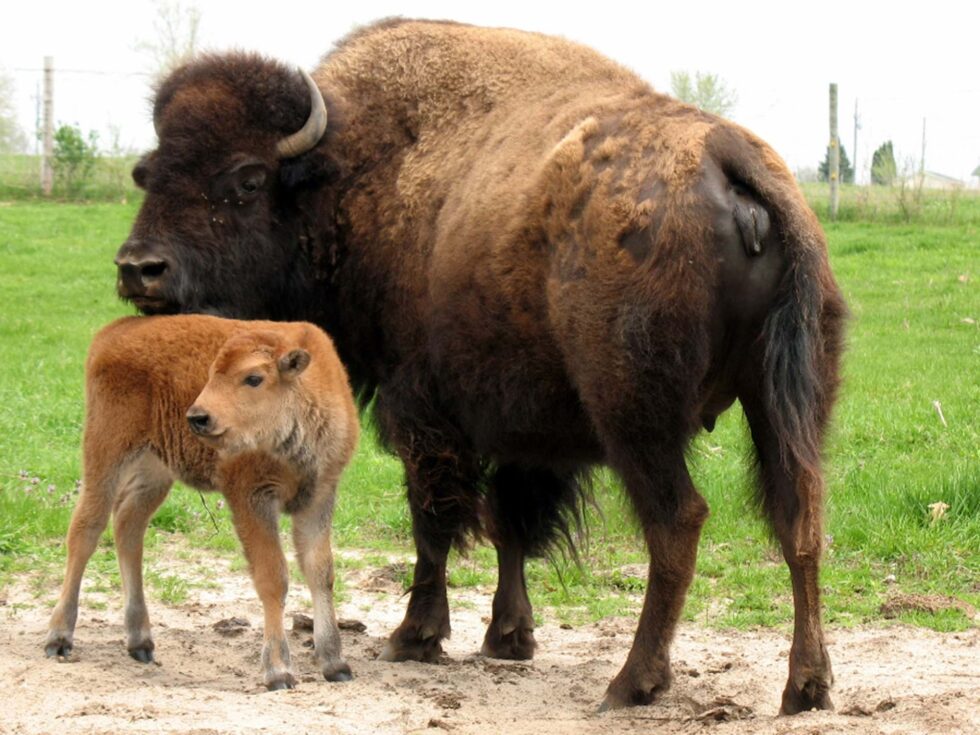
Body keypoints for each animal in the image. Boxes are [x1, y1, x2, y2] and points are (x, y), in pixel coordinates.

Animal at [44, 315, 359, 690]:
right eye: (211, 373)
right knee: (86, 530)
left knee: (128, 527)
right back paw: (59, 638)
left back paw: (140, 642)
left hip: (154, 469)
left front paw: (335, 664)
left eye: (254, 378)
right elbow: (273, 577)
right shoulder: (251, 498)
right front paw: (278, 671)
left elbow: (320, 571)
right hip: (106, 451)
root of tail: (116, 329)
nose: (197, 417)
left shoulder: (319, 497)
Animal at [113, 19, 846, 713]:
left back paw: (632, 682)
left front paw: (415, 635)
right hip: (787, 402)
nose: (140, 268)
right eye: (148, 173)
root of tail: (729, 156)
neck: (351, 173)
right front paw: (509, 637)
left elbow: (434, 518)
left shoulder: (422, 409)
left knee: (677, 523)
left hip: (637, 416)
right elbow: (509, 524)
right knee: (800, 519)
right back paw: (806, 686)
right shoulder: (524, 425)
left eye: (247, 179)